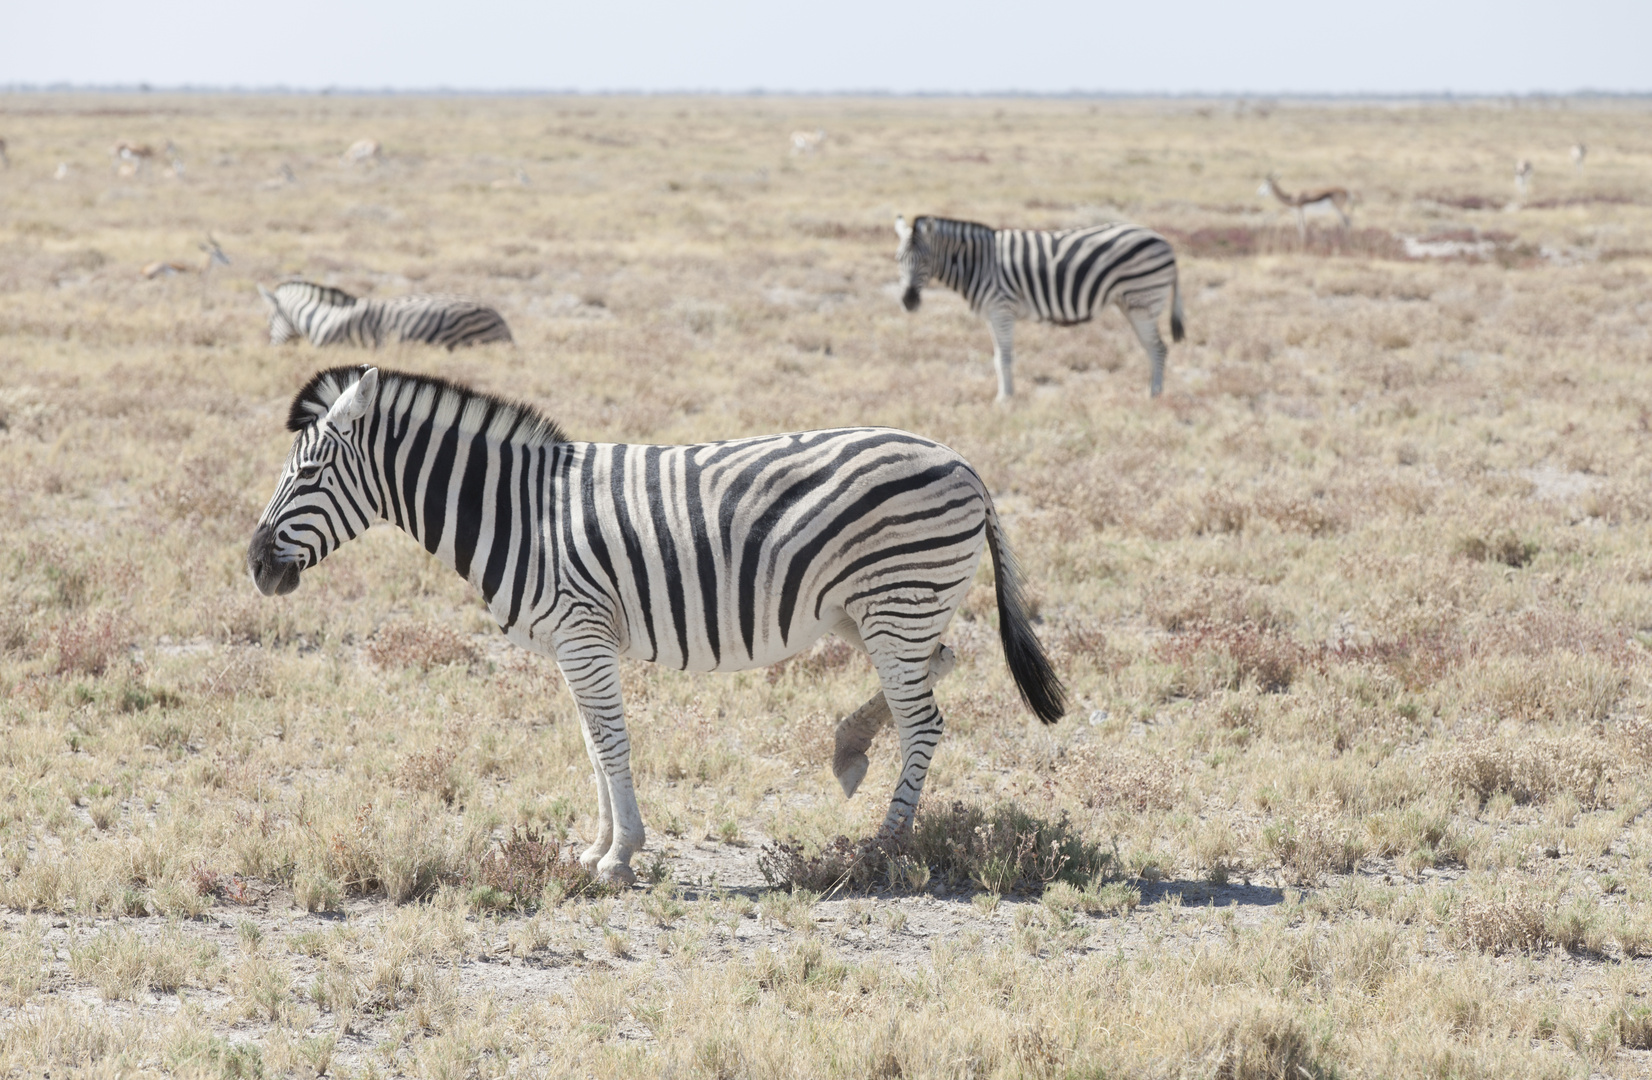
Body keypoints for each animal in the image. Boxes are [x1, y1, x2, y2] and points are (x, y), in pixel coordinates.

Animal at [249, 368, 1063, 885]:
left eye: (310, 475)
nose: (256, 565)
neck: (521, 511)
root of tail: (962, 462)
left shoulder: (582, 632)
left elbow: (610, 740)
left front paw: (620, 857)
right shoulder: (573, 644)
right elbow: (590, 742)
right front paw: (596, 848)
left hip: (896, 600)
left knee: (925, 720)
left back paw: (883, 845)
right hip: (879, 609)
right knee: (937, 669)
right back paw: (849, 750)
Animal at [898, 217, 1182, 404]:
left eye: (926, 260)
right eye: (898, 260)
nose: (908, 301)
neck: (978, 264)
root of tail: (1165, 241)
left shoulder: (1001, 308)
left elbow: (1003, 357)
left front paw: (1004, 399)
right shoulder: (992, 312)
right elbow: (998, 356)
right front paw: (1006, 394)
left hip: (1142, 301)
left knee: (1158, 348)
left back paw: (1154, 395)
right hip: (1132, 303)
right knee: (1152, 348)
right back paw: (1153, 390)